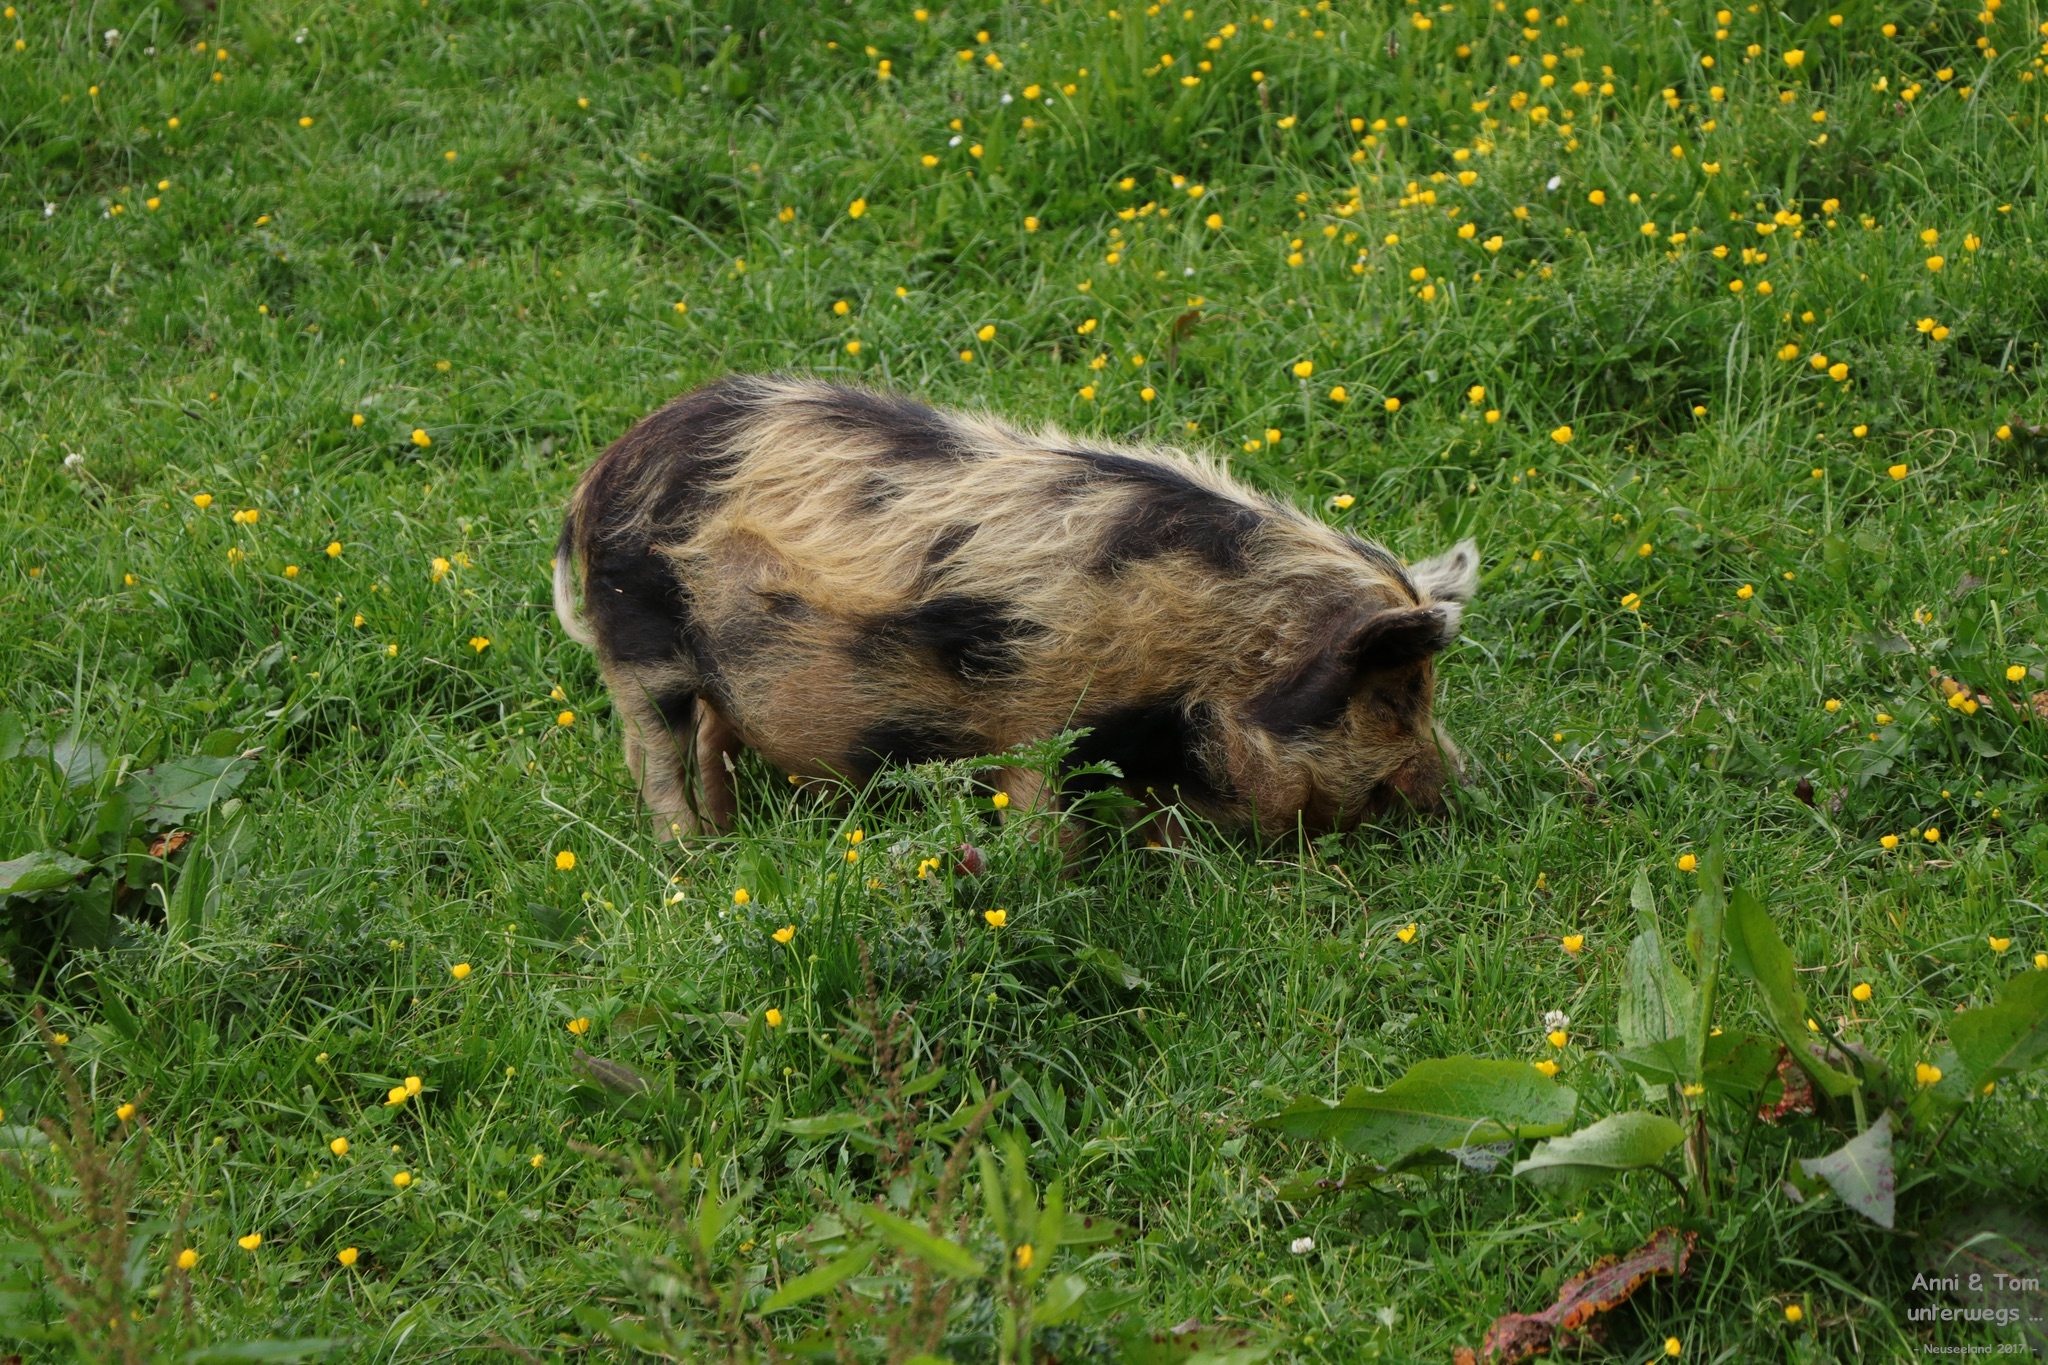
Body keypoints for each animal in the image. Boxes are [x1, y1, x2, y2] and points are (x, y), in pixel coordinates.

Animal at [553, 374, 1477, 841]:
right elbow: (1040, 815)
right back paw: (693, 856)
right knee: (654, 751)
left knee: (713, 733)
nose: (1458, 786)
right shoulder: (1040, 724)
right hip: (640, 644)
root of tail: (599, 474)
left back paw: (732, 831)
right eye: (1395, 694)